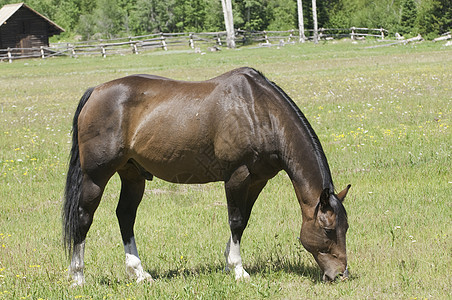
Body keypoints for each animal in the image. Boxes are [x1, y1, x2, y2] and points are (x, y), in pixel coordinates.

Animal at [62, 67, 350, 284]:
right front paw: (238, 270)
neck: (260, 112)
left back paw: (140, 273)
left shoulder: (257, 180)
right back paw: (78, 277)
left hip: (132, 175)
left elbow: (243, 220)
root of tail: (95, 92)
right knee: (84, 218)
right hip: (96, 177)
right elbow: (236, 221)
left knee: (125, 216)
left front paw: (228, 264)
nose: (340, 274)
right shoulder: (237, 176)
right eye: (327, 229)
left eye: (346, 227)